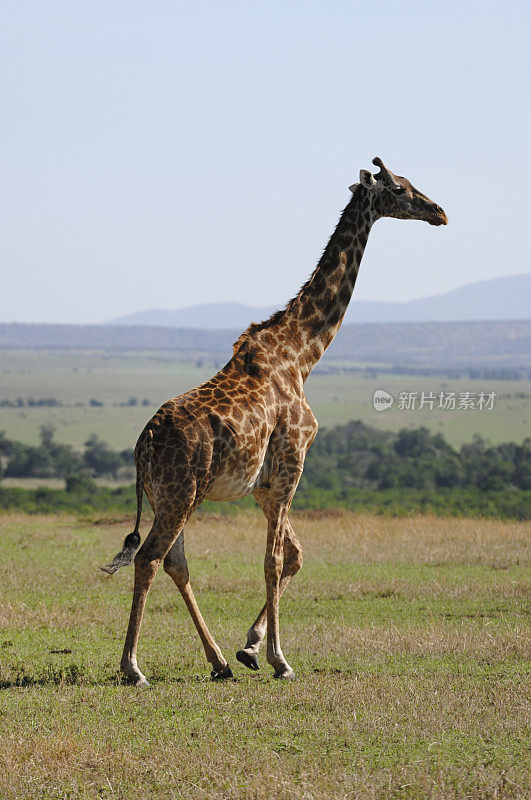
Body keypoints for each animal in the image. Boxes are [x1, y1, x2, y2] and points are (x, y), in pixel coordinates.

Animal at [102, 158, 446, 688]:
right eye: (401, 189)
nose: (439, 212)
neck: (302, 355)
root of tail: (144, 444)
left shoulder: (264, 486)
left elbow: (295, 557)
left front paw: (249, 648)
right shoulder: (291, 465)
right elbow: (274, 559)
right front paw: (280, 659)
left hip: (170, 497)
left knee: (176, 563)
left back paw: (219, 661)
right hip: (180, 494)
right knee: (150, 557)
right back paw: (133, 667)